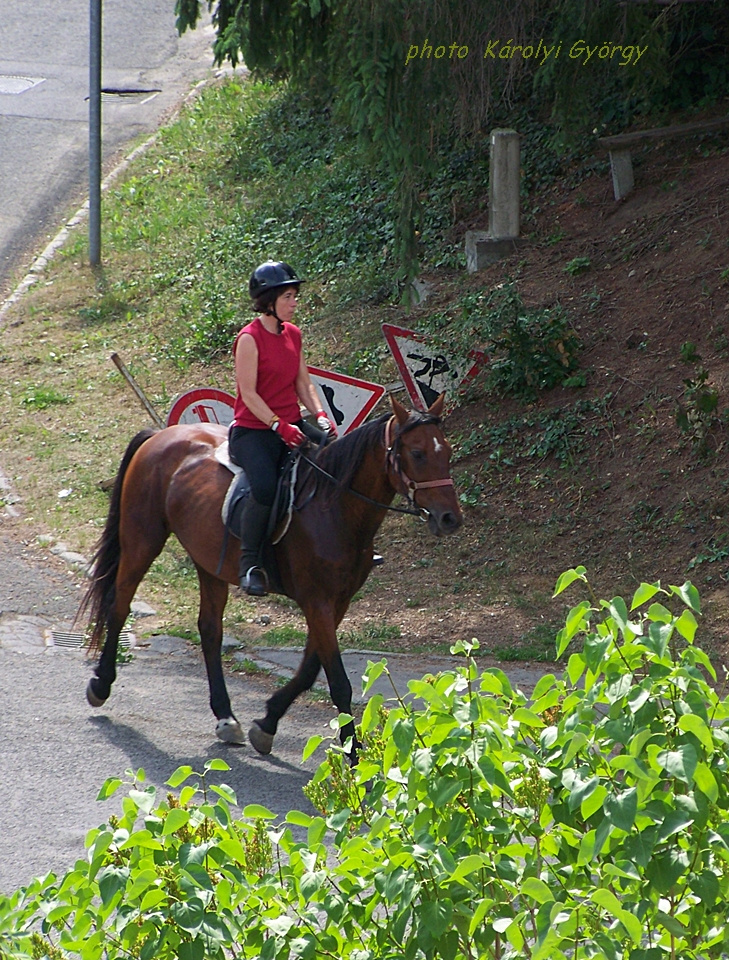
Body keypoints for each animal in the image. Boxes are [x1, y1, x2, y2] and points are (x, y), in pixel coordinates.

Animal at [81, 394, 460, 752]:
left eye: (447, 451)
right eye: (417, 453)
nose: (449, 519)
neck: (334, 506)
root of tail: (160, 435)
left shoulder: (337, 602)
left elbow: (309, 670)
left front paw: (267, 723)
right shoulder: (317, 602)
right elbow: (338, 682)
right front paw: (353, 755)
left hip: (208, 561)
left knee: (210, 630)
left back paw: (225, 716)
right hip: (143, 540)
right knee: (120, 603)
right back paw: (101, 683)